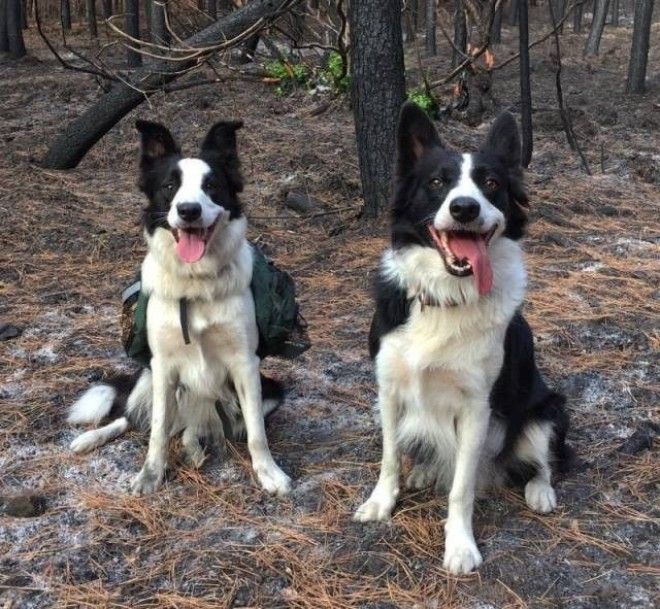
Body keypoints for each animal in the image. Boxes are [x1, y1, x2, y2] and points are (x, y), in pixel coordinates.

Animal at [65, 121, 308, 496]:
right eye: (169, 186)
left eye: (212, 186)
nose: (189, 210)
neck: (196, 283)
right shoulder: (163, 365)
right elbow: (156, 432)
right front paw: (150, 475)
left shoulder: (246, 364)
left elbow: (256, 433)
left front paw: (269, 473)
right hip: (147, 376)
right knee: (131, 417)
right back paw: (91, 438)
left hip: (270, 390)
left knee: (199, 426)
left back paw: (194, 445)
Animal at [354, 104, 568, 576]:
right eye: (438, 182)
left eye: (491, 184)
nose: (465, 208)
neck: (447, 296)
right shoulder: (389, 389)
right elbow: (390, 457)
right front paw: (381, 502)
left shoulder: (476, 408)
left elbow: (461, 487)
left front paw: (460, 546)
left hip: (546, 409)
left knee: (545, 461)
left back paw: (540, 491)